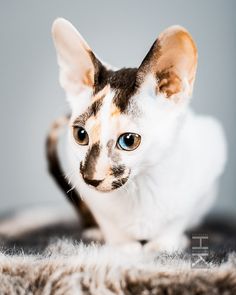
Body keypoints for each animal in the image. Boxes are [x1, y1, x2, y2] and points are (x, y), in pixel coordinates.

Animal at [48, 18, 227, 253]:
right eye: (80, 135)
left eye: (129, 140)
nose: (91, 178)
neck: (139, 187)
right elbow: (107, 220)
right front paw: (121, 245)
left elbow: (178, 218)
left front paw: (165, 244)